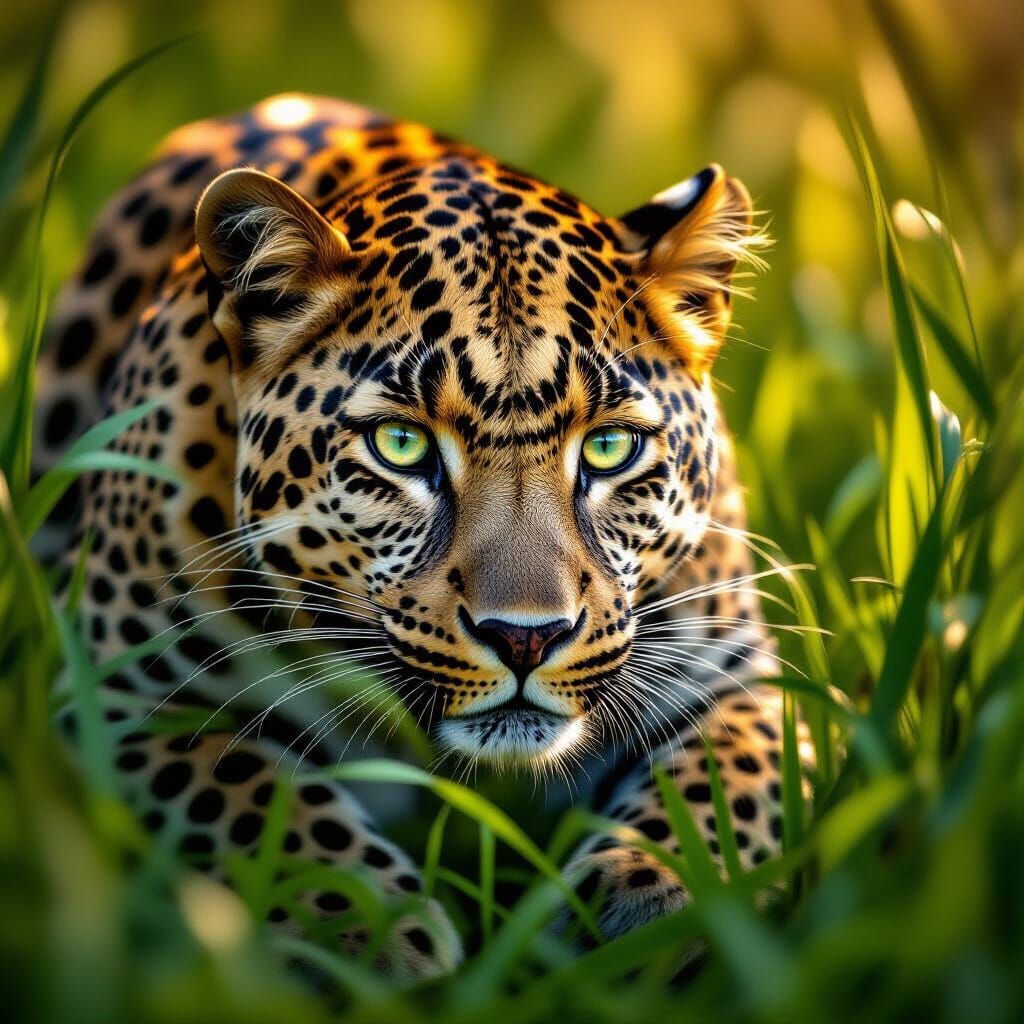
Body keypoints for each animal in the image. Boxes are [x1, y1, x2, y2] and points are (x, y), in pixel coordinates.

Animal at [34, 93, 802, 981]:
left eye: (611, 447)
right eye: (400, 445)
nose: (526, 638)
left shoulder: (734, 680)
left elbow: (718, 791)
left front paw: (651, 909)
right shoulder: (120, 698)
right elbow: (252, 798)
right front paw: (369, 932)